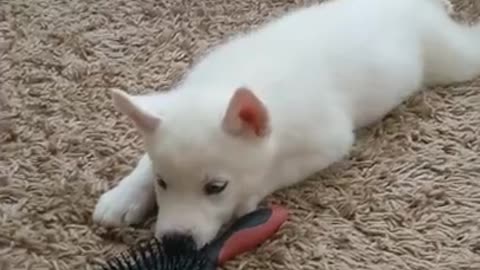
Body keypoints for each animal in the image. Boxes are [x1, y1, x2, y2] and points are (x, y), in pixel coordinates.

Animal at [93, 0, 480, 246]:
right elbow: (145, 160)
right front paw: (124, 195)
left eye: (216, 188)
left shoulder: (327, 142)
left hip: (450, 56)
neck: (230, 83)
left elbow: (273, 172)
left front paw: (246, 202)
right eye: (163, 183)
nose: (175, 244)